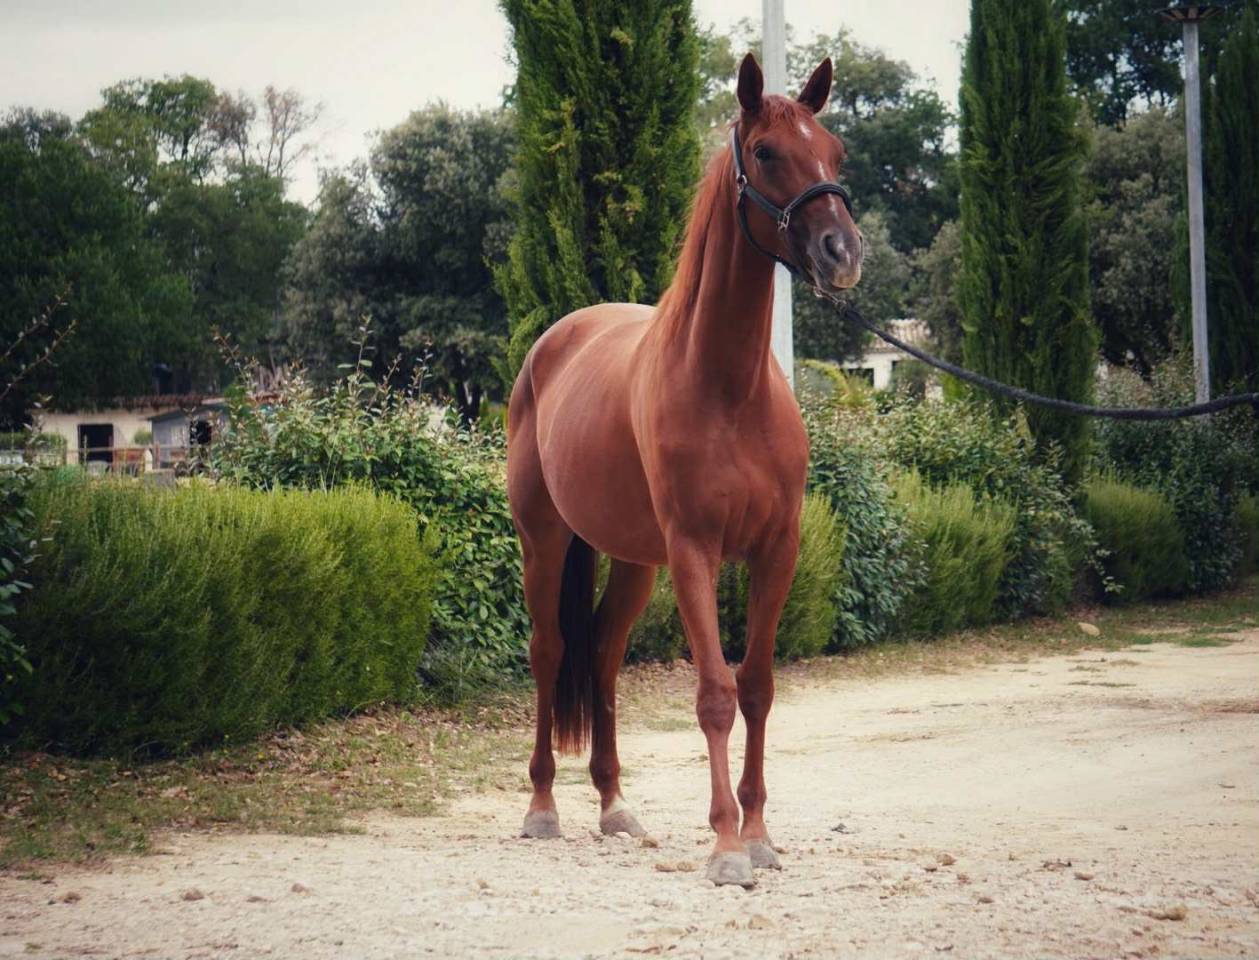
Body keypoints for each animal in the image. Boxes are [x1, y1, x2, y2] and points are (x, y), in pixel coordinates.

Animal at [506, 52, 863, 888]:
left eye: (833, 151)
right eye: (765, 152)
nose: (842, 253)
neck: (726, 387)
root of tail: (553, 344)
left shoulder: (775, 551)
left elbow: (757, 688)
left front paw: (758, 833)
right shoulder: (695, 551)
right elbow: (713, 696)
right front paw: (726, 846)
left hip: (636, 562)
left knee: (602, 656)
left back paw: (612, 804)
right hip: (544, 541)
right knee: (550, 652)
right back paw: (543, 808)